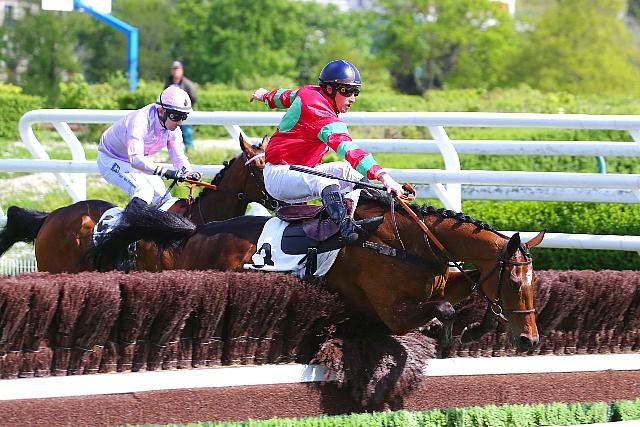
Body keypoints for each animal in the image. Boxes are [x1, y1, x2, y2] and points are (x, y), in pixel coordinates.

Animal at [89, 189, 545, 352]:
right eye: (513, 282)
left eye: (532, 283)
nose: (529, 341)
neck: (413, 243)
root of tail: (195, 231)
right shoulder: (391, 311)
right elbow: (443, 310)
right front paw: (447, 331)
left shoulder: (439, 279)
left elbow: (461, 293)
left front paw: (477, 327)